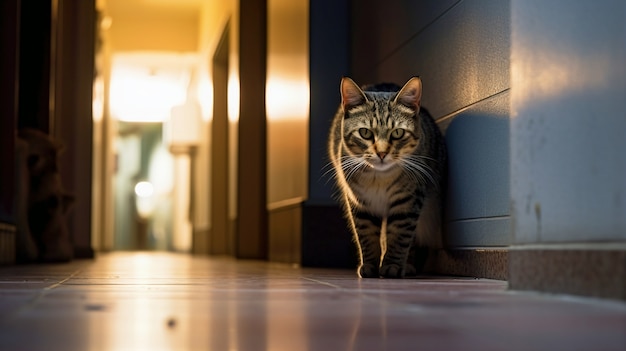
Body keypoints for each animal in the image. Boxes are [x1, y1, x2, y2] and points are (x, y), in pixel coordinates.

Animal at [326, 77, 444, 280]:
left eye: (397, 133)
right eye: (365, 132)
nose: (381, 153)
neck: (379, 178)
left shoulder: (408, 202)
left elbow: (400, 237)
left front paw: (392, 266)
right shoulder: (360, 203)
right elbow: (367, 237)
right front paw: (370, 266)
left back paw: (407, 265)